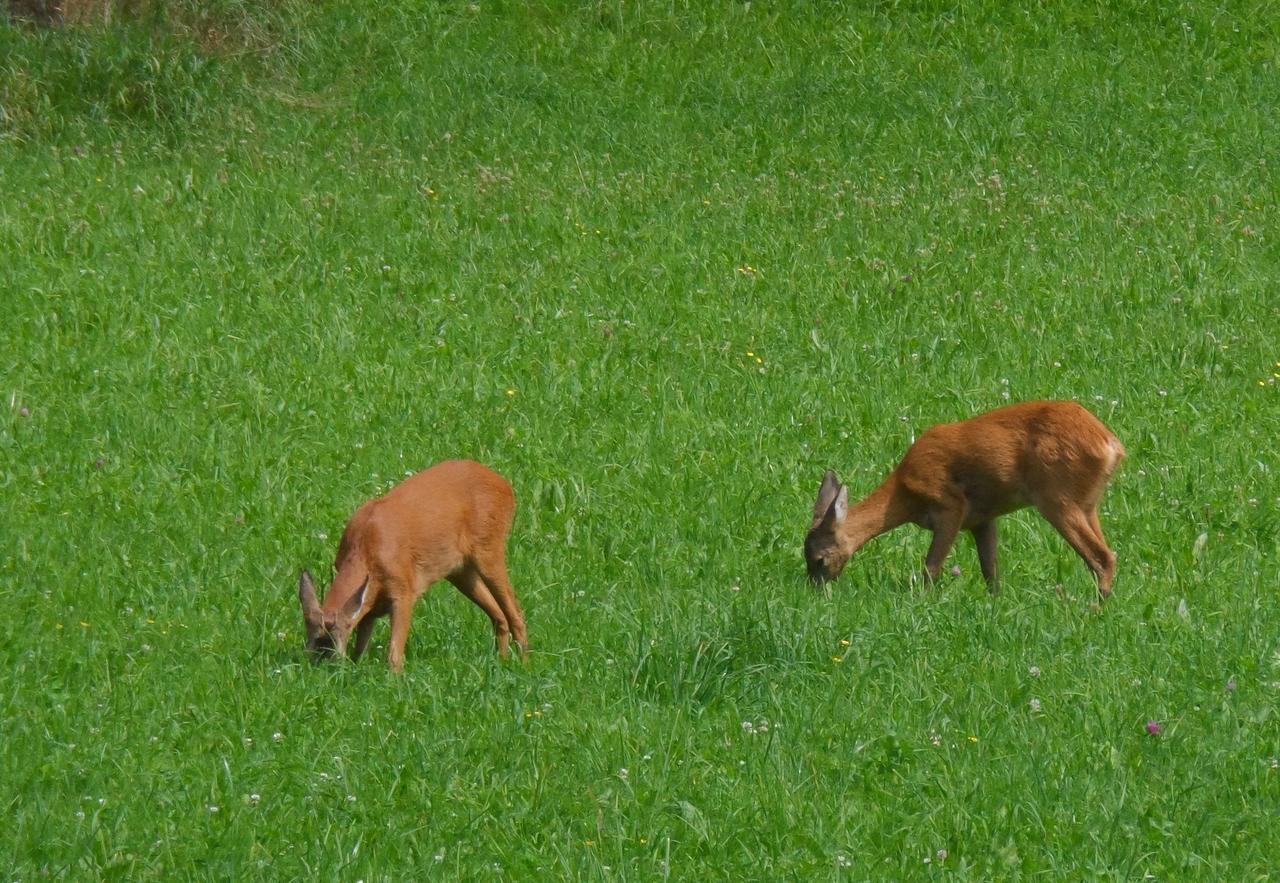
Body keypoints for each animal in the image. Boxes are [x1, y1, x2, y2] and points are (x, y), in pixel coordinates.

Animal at [296, 458, 527, 670]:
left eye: (336, 646)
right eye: (312, 645)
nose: (322, 669)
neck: (365, 550)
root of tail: (506, 486)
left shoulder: (404, 590)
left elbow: (394, 655)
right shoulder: (369, 605)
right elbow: (360, 650)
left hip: (489, 548)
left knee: (515, 611)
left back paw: (524, 663)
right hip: (460, 570)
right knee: (499, 615)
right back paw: (502, 661)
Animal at [803, 401, 1126, 598]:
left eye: (819, 559)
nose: (814, 590)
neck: (904, 493)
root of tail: (1111, 444)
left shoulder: (950, 505)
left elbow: (931, 566)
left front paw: (921, 601)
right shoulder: (983, 519)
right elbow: (990, 572)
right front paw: (995, 602)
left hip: (1057, 496)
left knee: (1102, 557)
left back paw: (1093, 609)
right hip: (1087, 502)